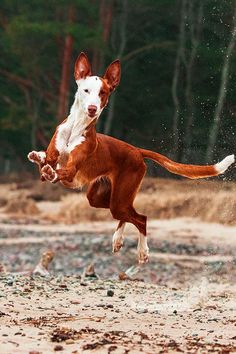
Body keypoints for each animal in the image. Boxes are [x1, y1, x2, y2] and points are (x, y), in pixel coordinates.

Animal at [27, 51, 234, 262]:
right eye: (86, 90)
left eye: (102, 93)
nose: (93, 108)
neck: (76, 128)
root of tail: (136, 150)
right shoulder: (53, 158)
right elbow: (45, 162)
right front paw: (38, 156)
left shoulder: (71, 171)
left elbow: (59, 171)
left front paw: (51, 172)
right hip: (101, 198)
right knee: (127, 214)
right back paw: (118, 239)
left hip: (119, 196)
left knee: (140, 218)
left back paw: (142, 251)